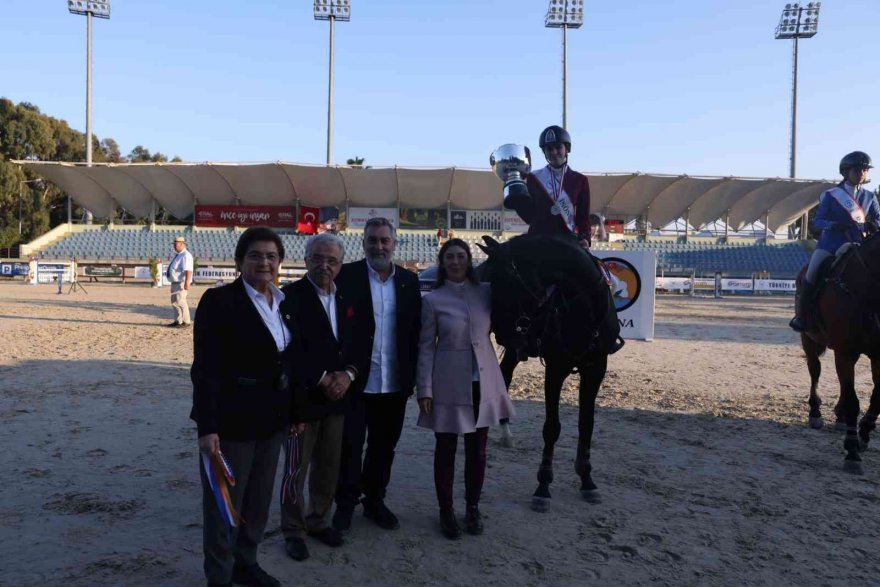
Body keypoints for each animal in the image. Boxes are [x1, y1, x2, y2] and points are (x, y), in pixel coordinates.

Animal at [478, 234, 624, 510]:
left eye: (500, 279)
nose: (501, 331)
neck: (583, 310)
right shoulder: (556, 369)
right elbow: (552, 427)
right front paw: (543, 485)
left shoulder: (596, 368)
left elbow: (586, 423)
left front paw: (587, 479)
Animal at [796, 232, 880, 476]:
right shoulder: (845, 351)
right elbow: (853, 401)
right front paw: (852, 451)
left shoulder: (878, 354)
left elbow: (877, 397)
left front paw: (863, 433)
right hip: (808, 339)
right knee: (815, 371)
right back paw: (815, 413)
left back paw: (840, 416)